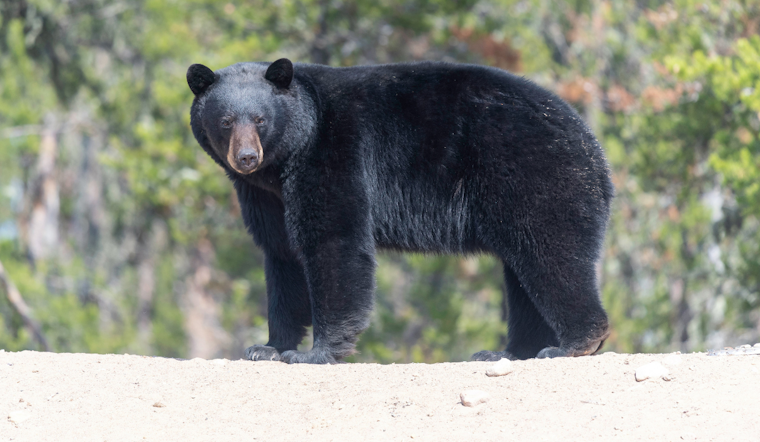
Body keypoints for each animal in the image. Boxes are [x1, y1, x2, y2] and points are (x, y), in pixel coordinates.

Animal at [187, 58, 613, 364]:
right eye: (225, 120)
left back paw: (572, 344)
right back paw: (506, 352)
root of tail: (594, 149)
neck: (287, 156)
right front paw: (267, 346)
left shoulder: (334, 154)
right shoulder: (265, 196)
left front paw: (313, 353)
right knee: (523, 275)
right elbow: (281, 255)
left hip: (533, 176)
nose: (246, 157)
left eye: (260, 119)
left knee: (551, 255)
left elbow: (333, 240)